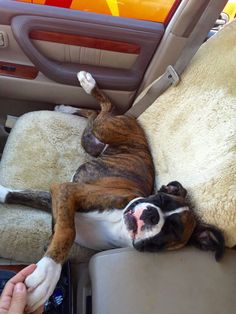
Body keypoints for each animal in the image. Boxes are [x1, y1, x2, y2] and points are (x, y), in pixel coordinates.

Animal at [0, 72, 224, 312]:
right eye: (159, 197)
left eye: (172, 230)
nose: (151, 214)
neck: (117, 226)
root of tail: (133, 120)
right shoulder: (66, 192)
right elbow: (64, 229)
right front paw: (48, 273)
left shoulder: (59, 197)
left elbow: (62, 231)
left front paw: (47, 275)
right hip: (103, 131)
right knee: (104, 109)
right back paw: (83, 88)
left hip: (91, 140)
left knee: (96, 114)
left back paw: (69, 104)